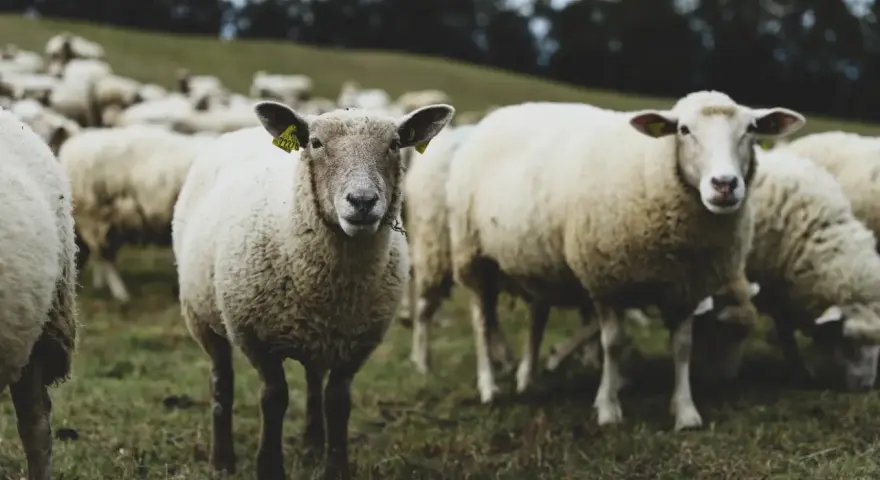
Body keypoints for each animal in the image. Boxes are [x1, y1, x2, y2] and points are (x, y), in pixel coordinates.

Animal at [172, 101, 454, 479]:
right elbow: (274, 398)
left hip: (317, 336)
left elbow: (337, 401)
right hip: (201, 314)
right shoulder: (256, 337)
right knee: (222, 379)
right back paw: (222, 459)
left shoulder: (357, 342)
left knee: (313, 379)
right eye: (316, 143)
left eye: (395, 144)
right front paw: (269, 467)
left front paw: (334, 465)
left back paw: (312, 443)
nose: (362, 201)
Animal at [446, 92, 804, 430]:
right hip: (473, 257)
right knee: (481, 320)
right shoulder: (606, 282)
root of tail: (502, 114)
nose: (724, 185)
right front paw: (608, 408)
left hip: (537, 264)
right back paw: (489, 387)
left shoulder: (686, 288)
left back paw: (527, 378)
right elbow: (613, 344)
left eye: (751, 129)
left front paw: (685, 411)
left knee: (537, 318)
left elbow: (683, 347)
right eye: (684, 130)